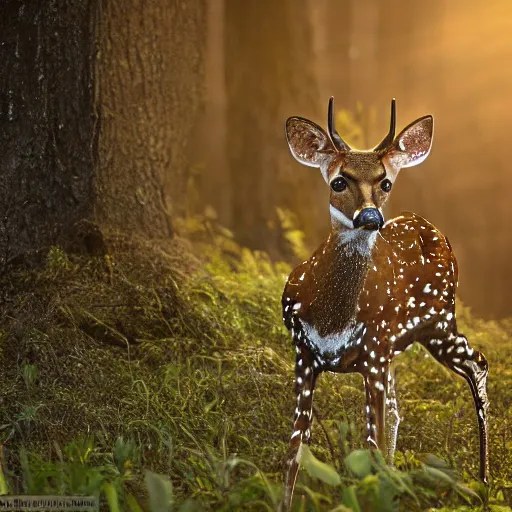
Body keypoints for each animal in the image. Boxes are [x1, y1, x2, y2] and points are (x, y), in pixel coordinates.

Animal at [282, 98, 490, 510]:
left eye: (386, 182)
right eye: (338, 181)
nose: (370, 217)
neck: (331, 320)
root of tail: (433, 228)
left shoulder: (373, 354)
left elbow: (370, 443)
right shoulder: (303, 352)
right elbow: (296, 448)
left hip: (438, 321)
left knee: (478, 364)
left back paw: (484, 479)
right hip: (398, 344)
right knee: (397, 409)